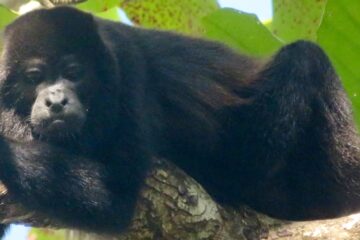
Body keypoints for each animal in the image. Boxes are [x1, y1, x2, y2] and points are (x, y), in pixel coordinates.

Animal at [0, 6, 360, 237]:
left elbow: (115, 197)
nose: (56, 101)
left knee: (305, 56)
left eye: (74, 73)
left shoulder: (128, 68)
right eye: (34, 77)